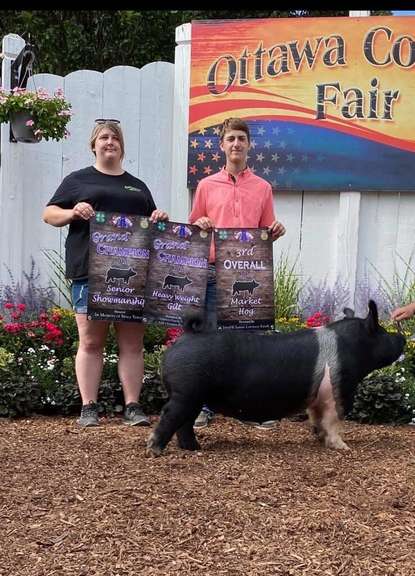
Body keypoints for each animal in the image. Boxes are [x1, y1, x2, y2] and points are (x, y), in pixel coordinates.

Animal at [147, 301, 405, 456]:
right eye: (382, 333)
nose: (401, 338)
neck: (352, 350)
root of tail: (186, 336)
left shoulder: (317, 398)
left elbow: (318, 419)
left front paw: (319, 438)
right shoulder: (339, 391)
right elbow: (334, 421)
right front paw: (344, 448)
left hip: (194, 397)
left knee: (185, 423)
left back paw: (193, 448)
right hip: (186, 393)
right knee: (170, 416)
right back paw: (154, 450)